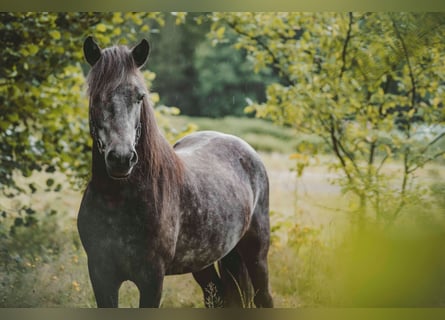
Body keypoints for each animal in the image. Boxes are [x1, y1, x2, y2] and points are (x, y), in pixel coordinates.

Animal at [76, 37, 272, 308]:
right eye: (95, 96)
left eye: (139, 97)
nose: (121, 159)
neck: (118, 201)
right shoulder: (101, 276)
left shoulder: (152, 279)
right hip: (206, 262)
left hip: (256, 255)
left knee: (265, 297)